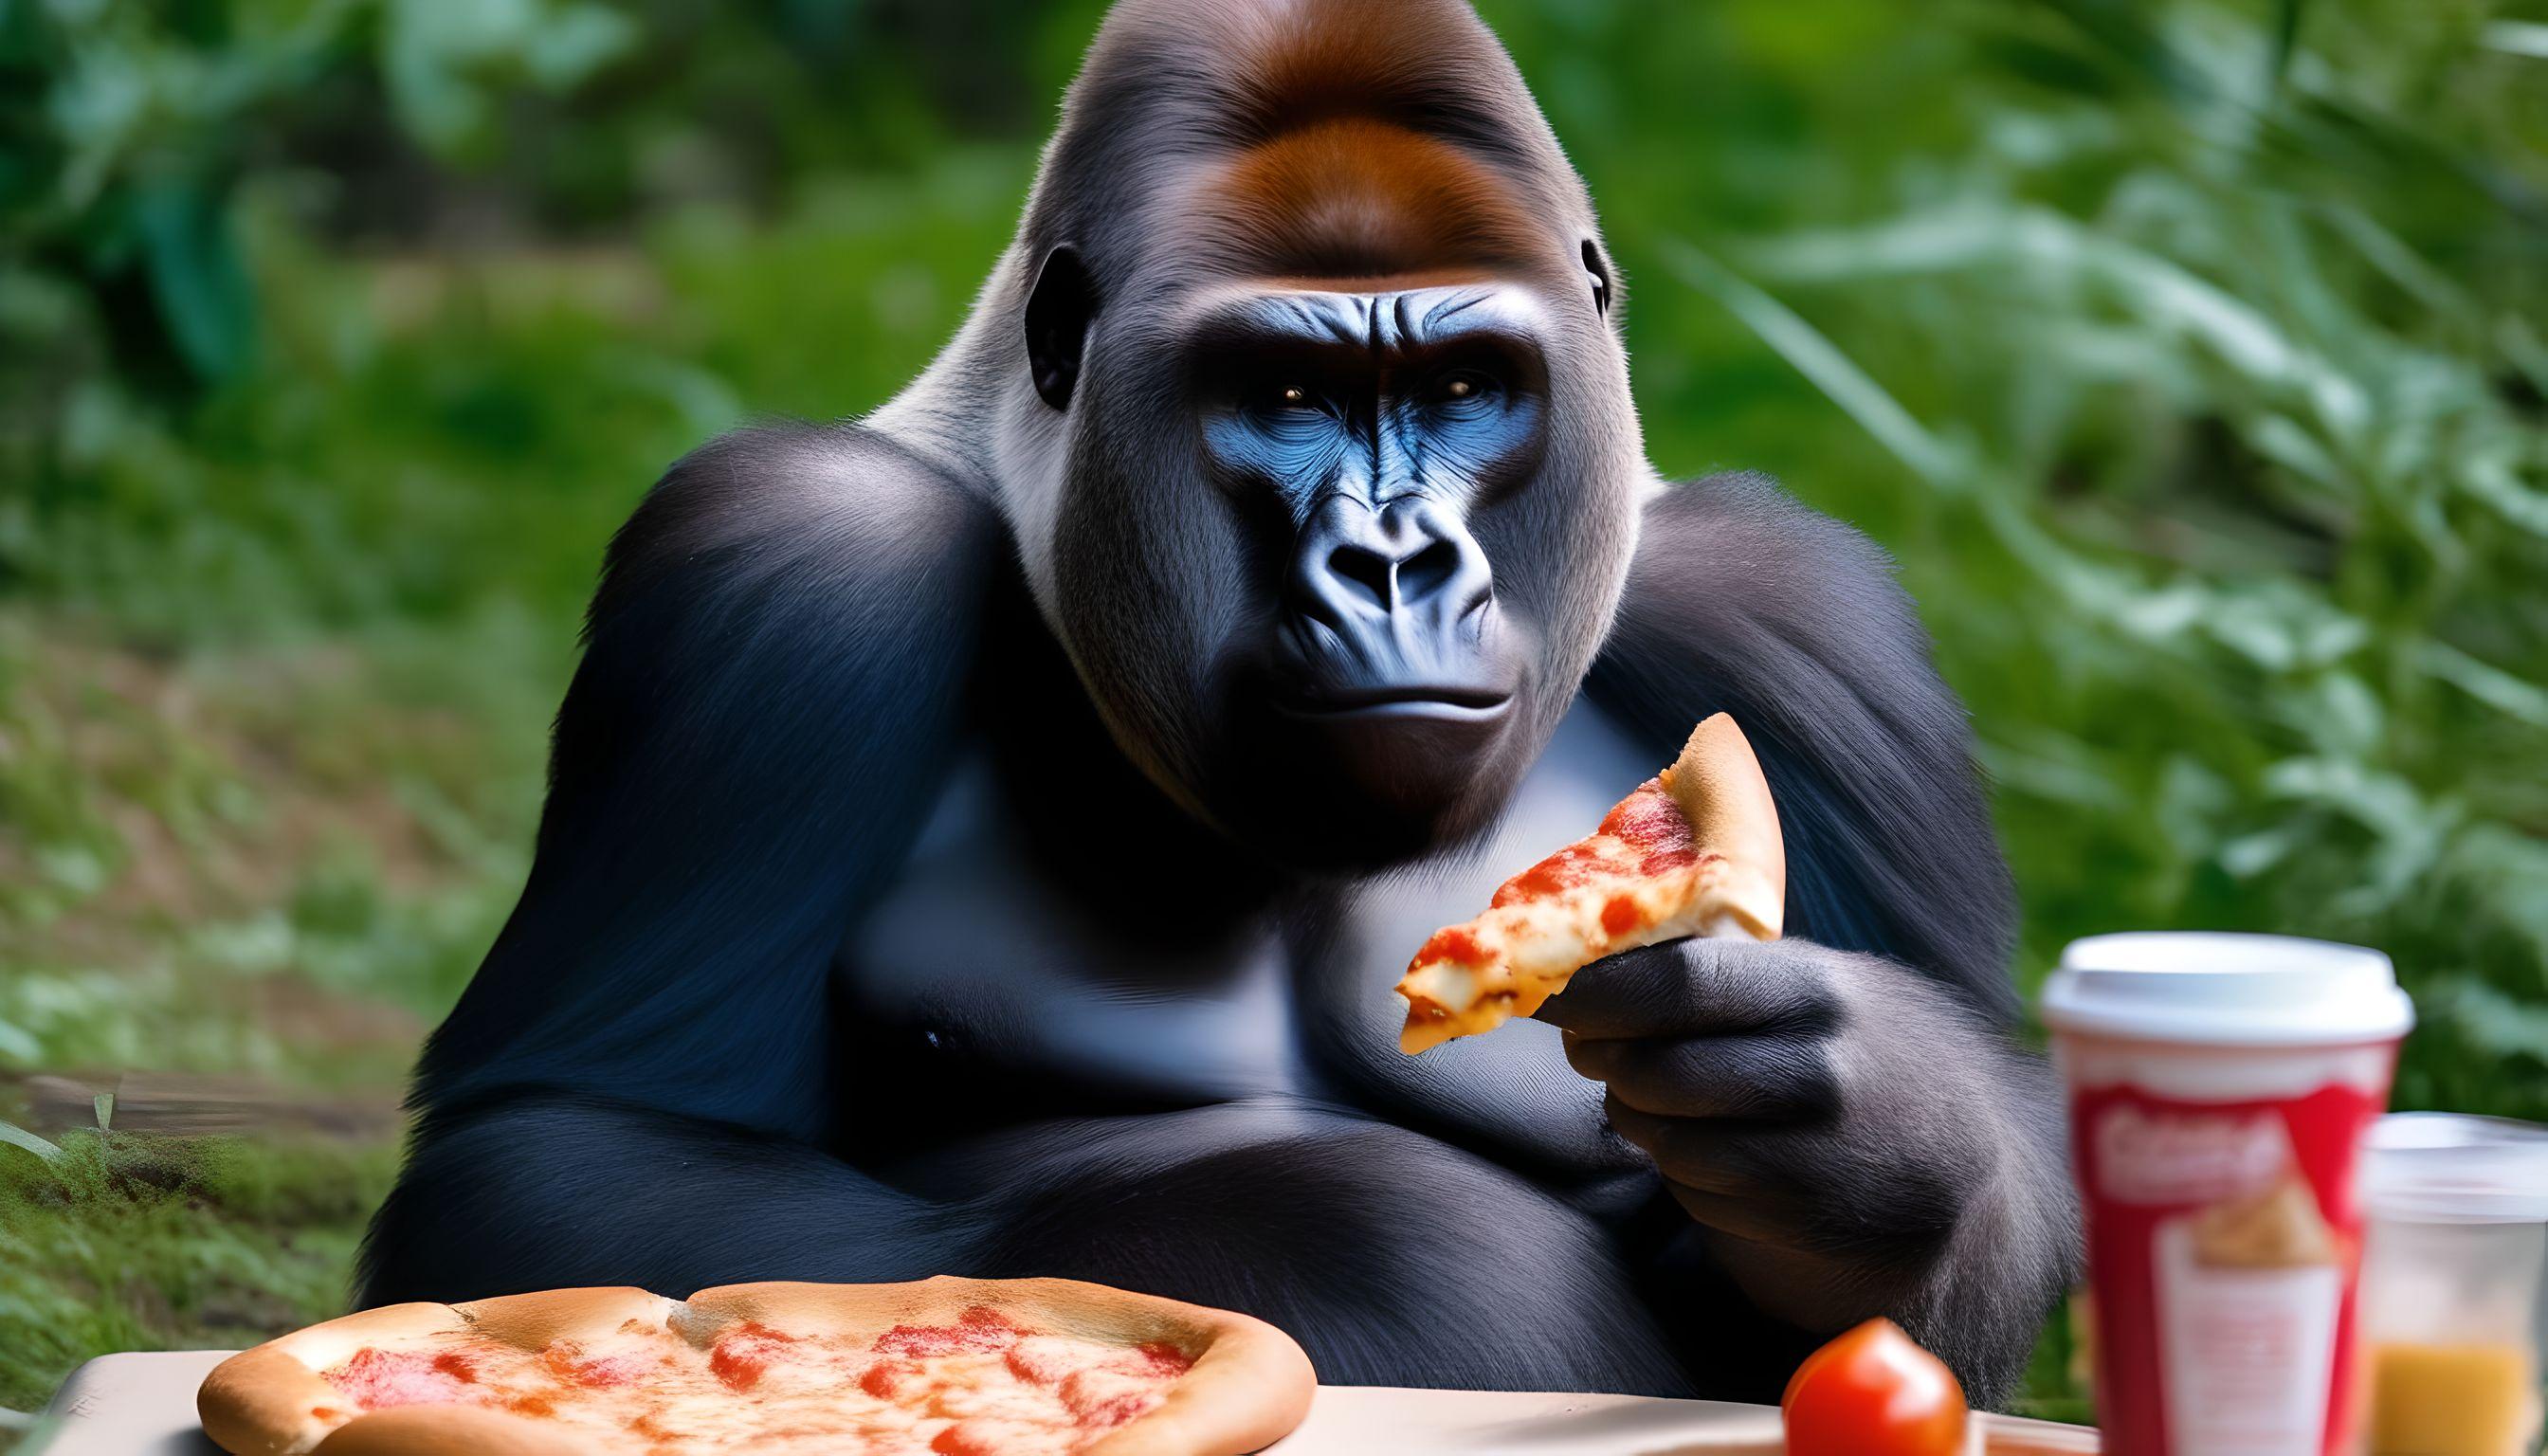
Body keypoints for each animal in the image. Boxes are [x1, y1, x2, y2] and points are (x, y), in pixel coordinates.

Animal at [360, 0, 2079, 1405]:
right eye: (1287, 396)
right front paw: (1337, 1239)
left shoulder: (1796, 616)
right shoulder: (787, 557)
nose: (1393, 564)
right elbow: (560, 1145)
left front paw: (1872, 1143)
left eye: (1465, 388)